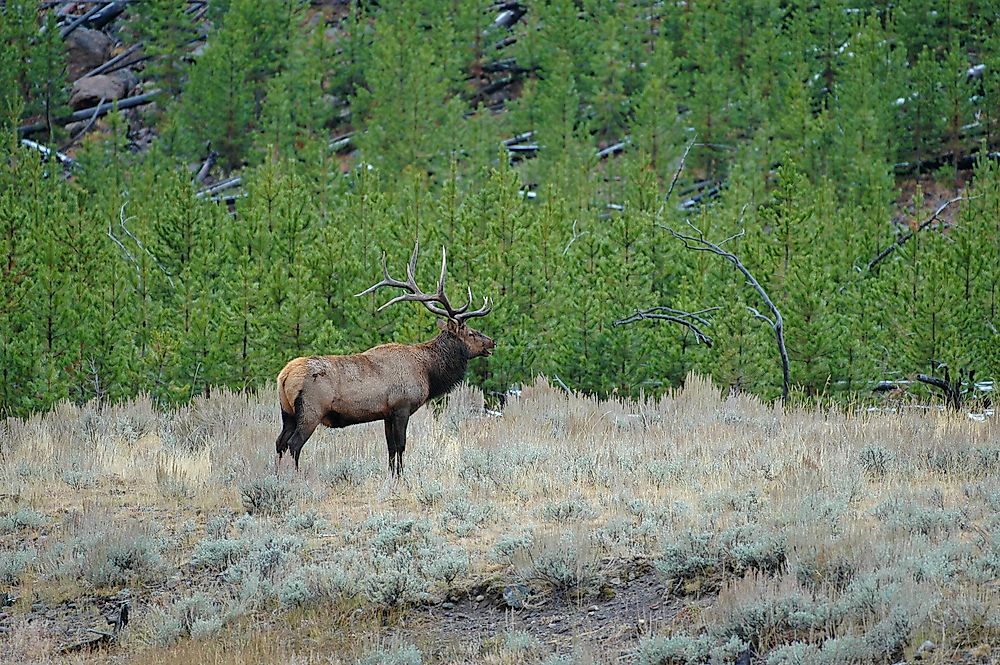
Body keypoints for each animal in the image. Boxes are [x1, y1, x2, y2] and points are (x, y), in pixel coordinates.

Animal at [276, 241, 494, 474]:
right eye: (470, 333)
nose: (491, 342)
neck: (428, 372)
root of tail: (284, 376)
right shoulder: (402, 407)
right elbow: (400, 445)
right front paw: (401, 475)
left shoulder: (387, 414)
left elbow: (390, 448)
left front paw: (393, 475)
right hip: (311, 410)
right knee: (293, 444)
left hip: (287, 412)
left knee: (280, 442)